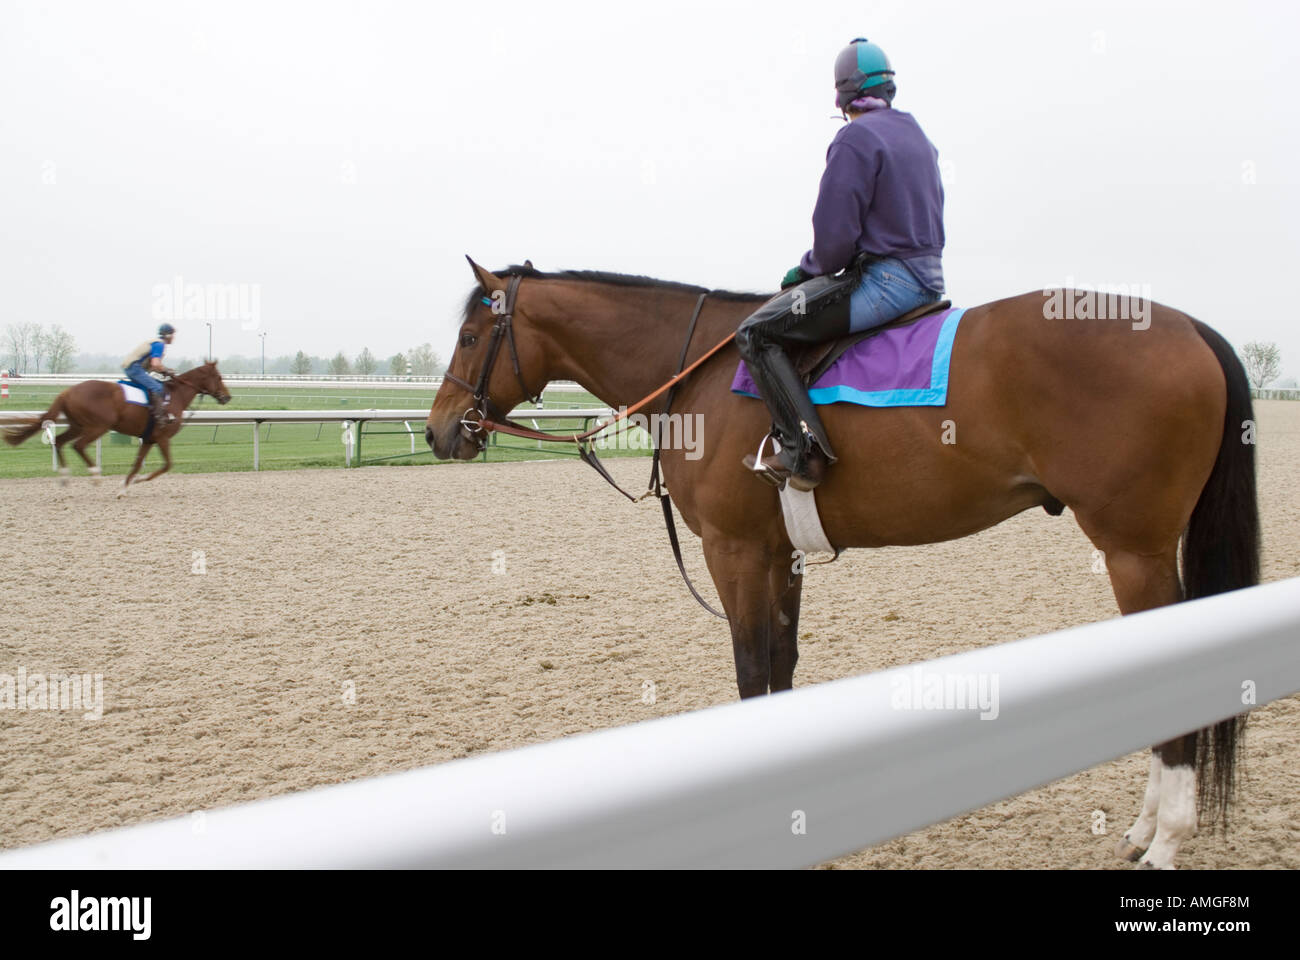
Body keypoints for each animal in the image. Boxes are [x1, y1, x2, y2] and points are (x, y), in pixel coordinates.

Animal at [3, 361, 231, 494]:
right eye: (219, 377)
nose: (227, 397)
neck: (175, 396)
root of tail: (66, 392)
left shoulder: (148, 438)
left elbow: (137, 464)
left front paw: (126, 485)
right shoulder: (162, 438)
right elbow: (167, 465)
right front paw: (137, 481)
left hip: (78, 425)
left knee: (59, 442)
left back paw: (65, 477)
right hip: (97, 426)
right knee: (78, 446)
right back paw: (95, 475)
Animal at [426, 256, 1258, 868]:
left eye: (469, 336)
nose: (439, 430)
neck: (697, 371)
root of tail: (1189, 327)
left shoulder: (734, 550)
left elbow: (751, 668)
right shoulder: (779, 555)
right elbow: (782, 664)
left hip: (1132, 550)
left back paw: (1166, 841)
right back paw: (1144, 830)